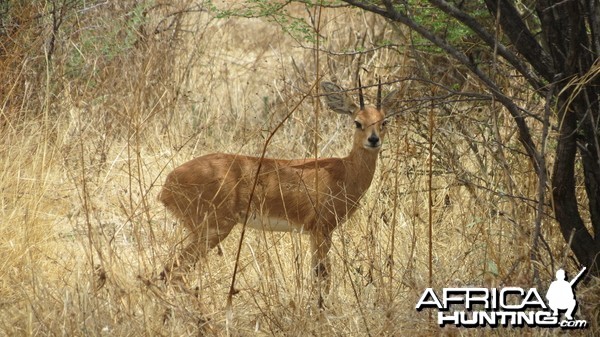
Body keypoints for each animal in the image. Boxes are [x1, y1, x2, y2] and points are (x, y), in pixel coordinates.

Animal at [158, 79, 394, 294]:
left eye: (384, 121)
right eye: (357, 122)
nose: (373, 140)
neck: (345, 172)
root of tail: (166, 186)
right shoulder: (321, 229)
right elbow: (323, 279)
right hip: (213, 229)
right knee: (171, 272)